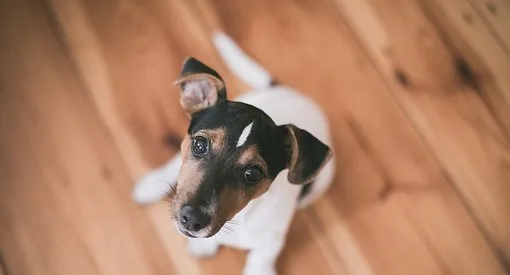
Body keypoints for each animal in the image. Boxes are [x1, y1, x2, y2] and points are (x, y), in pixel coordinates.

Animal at [133, 32, 336, 275]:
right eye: (200, 145)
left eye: (253, 174)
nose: (192, 220)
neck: (241, 216)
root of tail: (292, 93)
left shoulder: (271, 240)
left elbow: (260, 259)